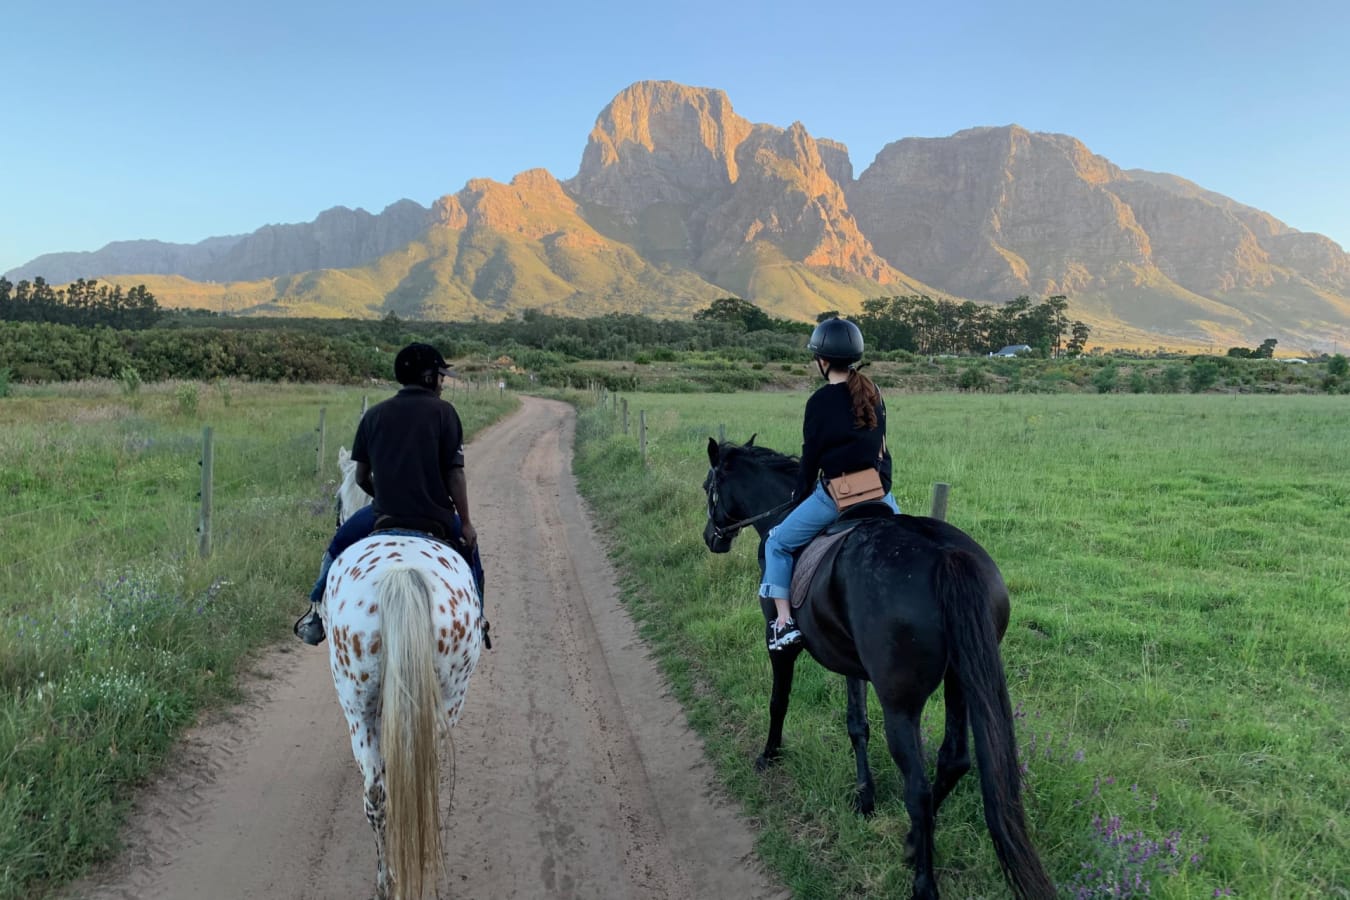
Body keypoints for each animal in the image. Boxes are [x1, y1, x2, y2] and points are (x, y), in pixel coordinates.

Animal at [323, 447, 484, 899]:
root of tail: (401, 575)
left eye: (338, 501)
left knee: (380, 791)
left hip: (358, 704)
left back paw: (387, 880)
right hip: (445, 698)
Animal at [702, 437, 1053, 900]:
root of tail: (947, 556)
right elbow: (857, 724)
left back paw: (922, 879)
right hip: (960, 682)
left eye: (708, 486)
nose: (711, 538)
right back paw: (913, 840)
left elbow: (779, 701)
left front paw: (768, 754)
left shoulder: (777, 643)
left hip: (900, 703)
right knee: (954, 760)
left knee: (917, 787)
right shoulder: (853, 662)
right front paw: (864, 797)